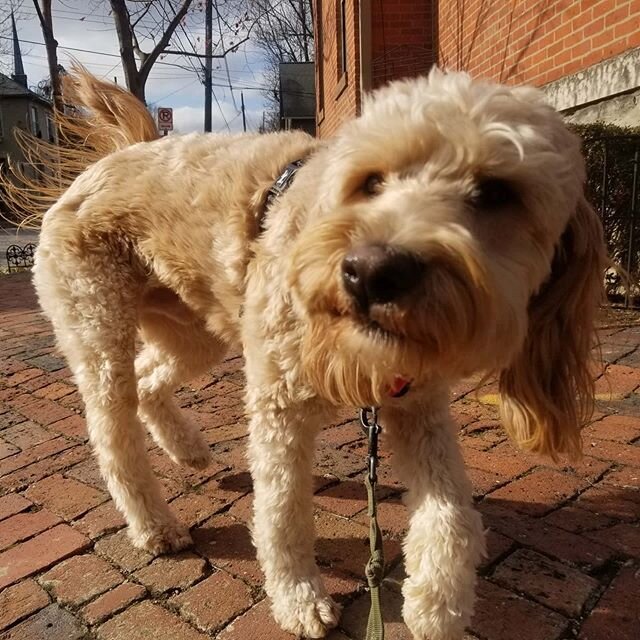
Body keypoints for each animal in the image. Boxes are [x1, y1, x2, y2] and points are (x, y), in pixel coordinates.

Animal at [5, 70, 608, 640]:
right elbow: (283, 514)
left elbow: (455, 512)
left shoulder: (420, 409)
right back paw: (155, 524)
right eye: (371, 181)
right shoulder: (281, 406)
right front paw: (298, 599)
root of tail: (112, 159)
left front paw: (437, 603)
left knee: (150, 380)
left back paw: (188, 450)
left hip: (196, 332)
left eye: (496, 193)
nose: (371, 271)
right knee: (113, 435)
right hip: (98, 324)